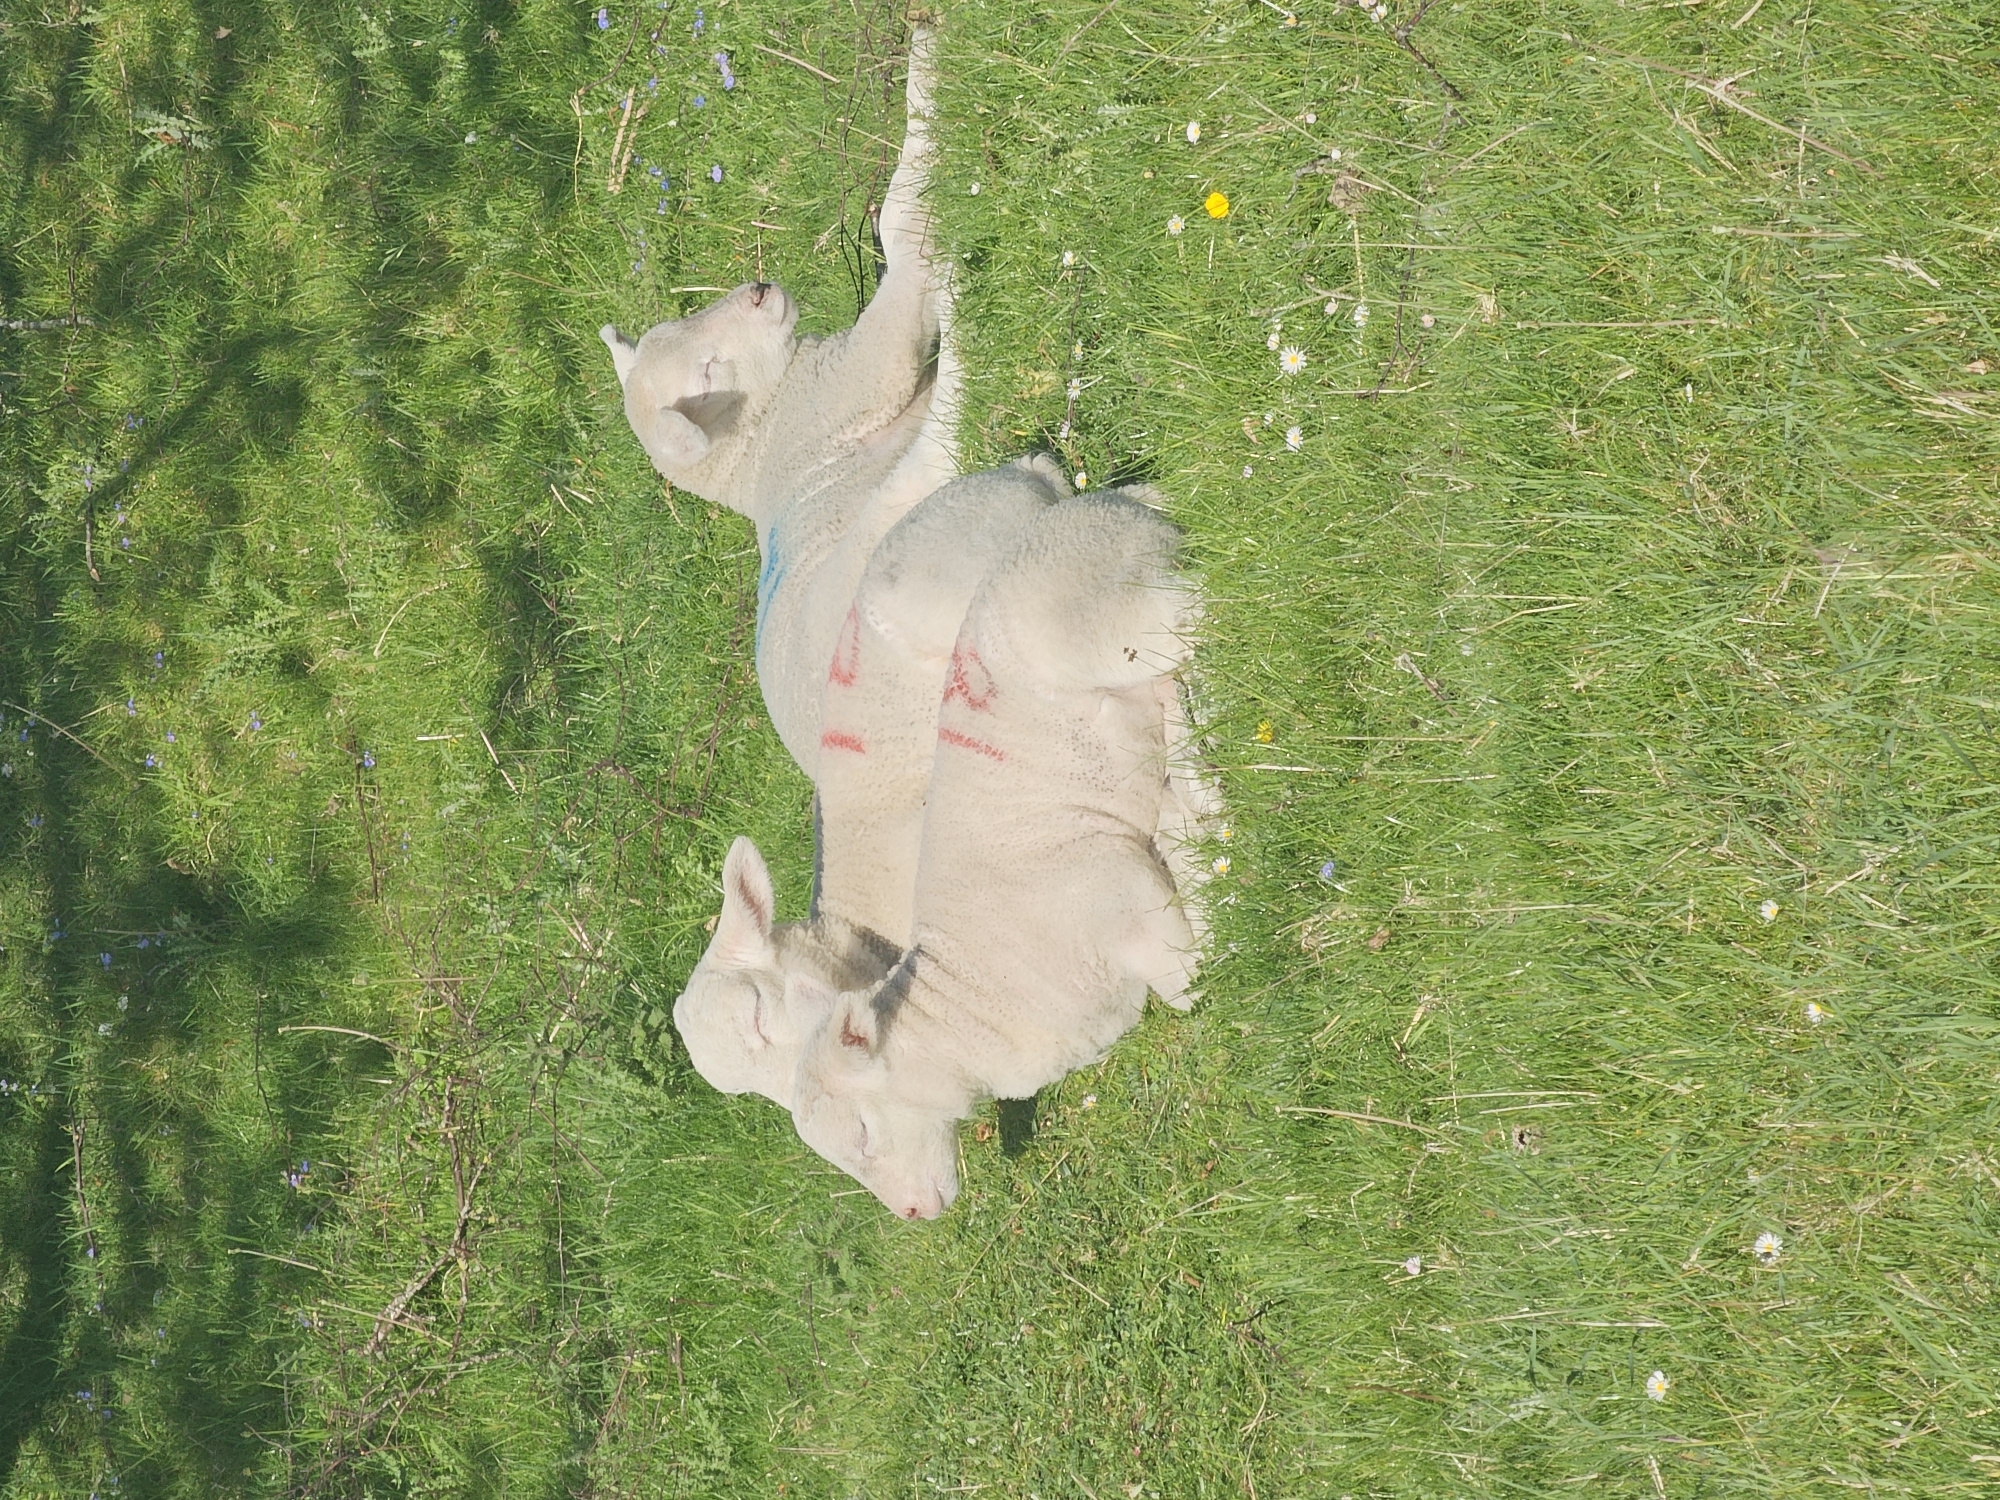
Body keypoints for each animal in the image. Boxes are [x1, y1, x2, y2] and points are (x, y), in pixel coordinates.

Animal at [789, 492, 1199, 1219]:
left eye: (862, 1132)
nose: (914, 1215)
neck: (976, 1000)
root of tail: (1101, 503)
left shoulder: (1113, 886)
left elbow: (1184, 986)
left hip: (1118, 620)